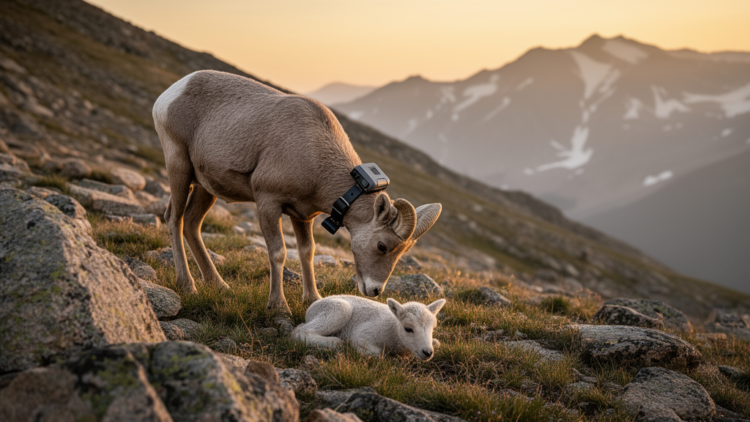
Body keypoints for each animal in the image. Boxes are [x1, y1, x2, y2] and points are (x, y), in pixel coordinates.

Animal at [152, 70, 442, 315]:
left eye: (401, 253)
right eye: (382, 246)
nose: (374, 290)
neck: (314, 154)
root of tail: (170, 95)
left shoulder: (302, 216)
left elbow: (307, 252)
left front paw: (312, 299)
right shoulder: (268, 203)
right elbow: (278, 252)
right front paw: (278, 306)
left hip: (206, 187)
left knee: (192, 224)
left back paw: (219, 286)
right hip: (179, 167)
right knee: (174, 219)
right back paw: (188, 285)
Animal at [292, 295, 446, 359]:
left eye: (432, 329)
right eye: (408, 329)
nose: (427, 352)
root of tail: (312, 306)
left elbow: (437, 342)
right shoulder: (362, 334)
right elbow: (378, 353)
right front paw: (354, 349)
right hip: (337, 309)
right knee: (300, 331)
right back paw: (335, 343)